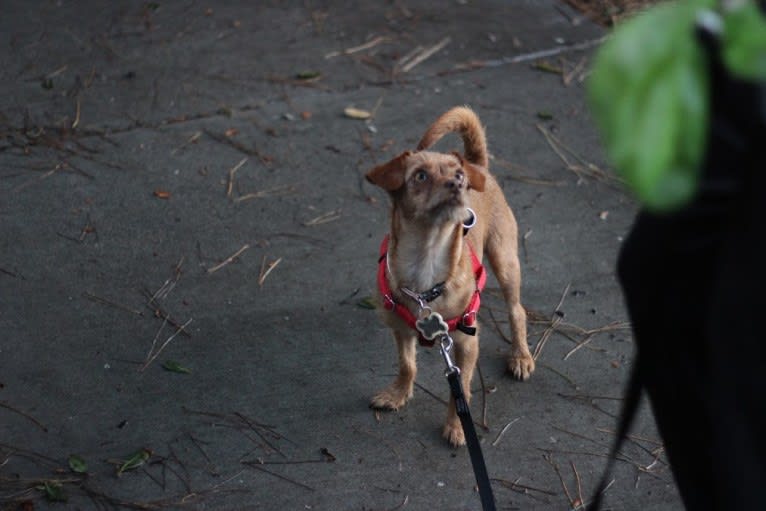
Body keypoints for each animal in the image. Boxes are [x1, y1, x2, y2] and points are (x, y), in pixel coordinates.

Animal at [368, 106, 536, 446]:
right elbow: (407, 365)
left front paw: (457, 426)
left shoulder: (465, 343)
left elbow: (462, 389)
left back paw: (520, 356)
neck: (427, 262)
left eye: (457, 176)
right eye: (420, 176)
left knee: (517, 310)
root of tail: (476, 164)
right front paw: (398, 394)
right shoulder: (401, 332)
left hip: (505, 260)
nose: (458, 183)